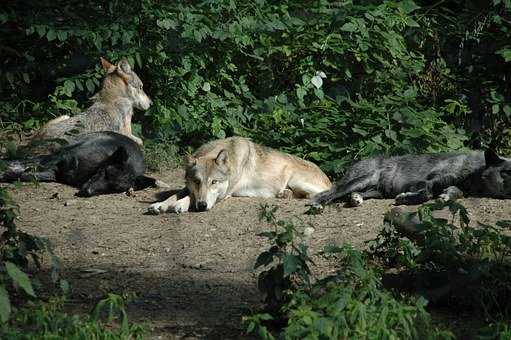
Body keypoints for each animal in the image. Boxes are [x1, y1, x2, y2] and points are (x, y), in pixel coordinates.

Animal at [1, 132, 166, 197]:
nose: (87, 192)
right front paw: (9, 171)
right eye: (105, 172)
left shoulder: (55, 173)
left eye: (113, 188)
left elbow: (29, 176)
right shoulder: (60, 158)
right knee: (30, 159)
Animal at [148, 136, 332, 212]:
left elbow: (190, 197)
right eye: (197, 181)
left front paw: (180, 205)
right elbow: (176, 194)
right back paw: (284, 194)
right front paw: (160, 205)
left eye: (214, 182)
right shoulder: (189, 187)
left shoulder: (223, 195)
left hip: (295, 179)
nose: (202, 206)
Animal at [310, 149, 511, 207]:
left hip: (378, 192)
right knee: (330, 193)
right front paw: (406, 198)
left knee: (354, 195)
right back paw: (317, 205)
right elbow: (426, 193)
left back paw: (356, 199)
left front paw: (446, 196)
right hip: (361, 180)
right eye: (507, 172)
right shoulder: (427, 181)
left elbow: (456, 192)